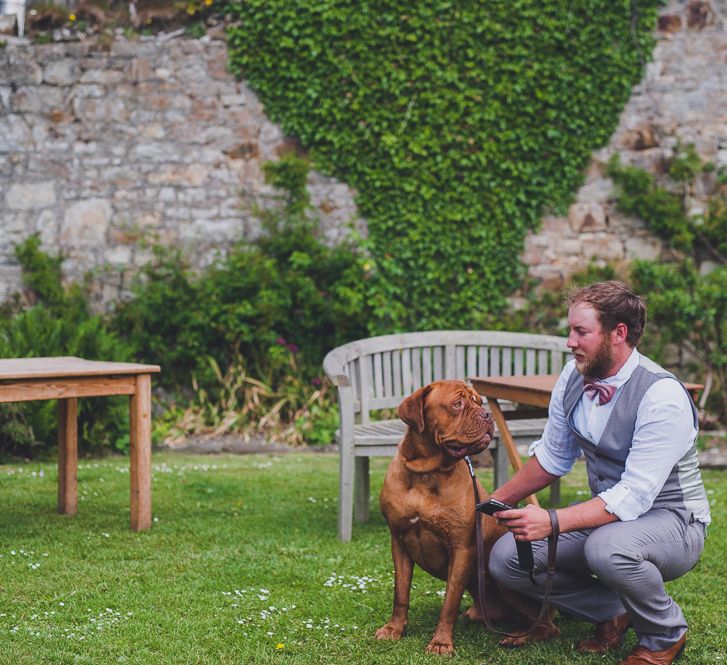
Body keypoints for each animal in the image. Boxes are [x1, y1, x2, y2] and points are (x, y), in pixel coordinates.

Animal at [376, 378, 556, 652]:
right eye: (457, 404)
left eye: (479, 401)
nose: (487, 414)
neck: (426, 473)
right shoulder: (399, 542)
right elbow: (401, 592)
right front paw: (393, 628)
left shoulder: (462, 548)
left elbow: (449, 601)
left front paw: (441, 643)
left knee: (547, 626)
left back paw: (518, 636)